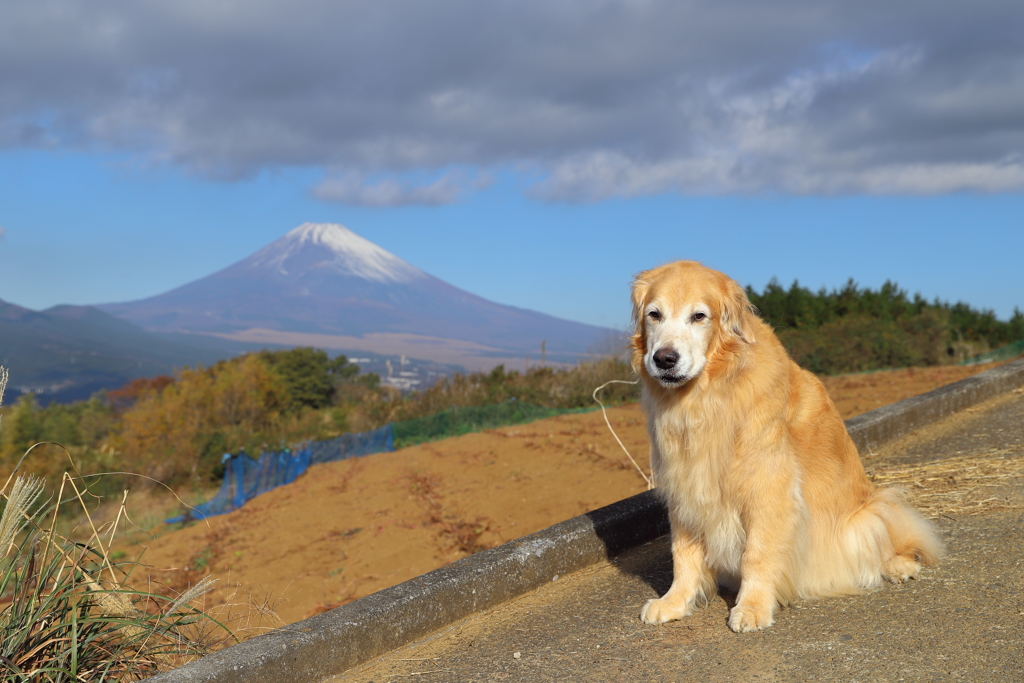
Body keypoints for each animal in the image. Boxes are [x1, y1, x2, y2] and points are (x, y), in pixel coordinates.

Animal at [630, 260, 942, 630]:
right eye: (654, 314)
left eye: (699, 316)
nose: (664, 359)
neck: (709, 394)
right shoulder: (686, 489)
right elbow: (684, 555)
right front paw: (674, 601)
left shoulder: (768, 487)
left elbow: (757, 553)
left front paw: (752, 607)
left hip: (872, 512)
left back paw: (899, 565)